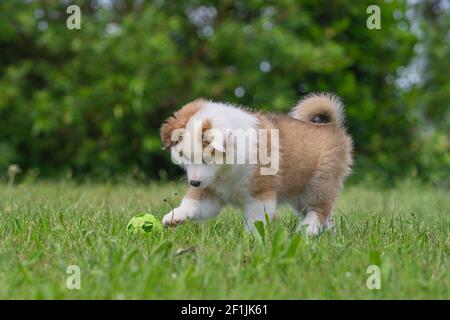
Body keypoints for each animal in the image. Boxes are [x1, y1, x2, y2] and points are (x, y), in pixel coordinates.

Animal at [160, 92, 354, 235]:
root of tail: (331, 126)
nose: (193, 183)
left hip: (319, 184)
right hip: (300, 195)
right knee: (325, 214)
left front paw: (251, 241)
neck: (226, 170)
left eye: (207, 158)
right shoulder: (209, 192)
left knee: (319, 210)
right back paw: (328, 234)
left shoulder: (260, 195)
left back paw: (306, 231)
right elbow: (191, 203)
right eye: (184, 156)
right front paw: (174, 217)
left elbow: (255, 221)